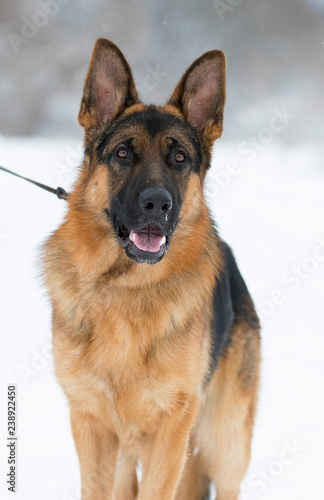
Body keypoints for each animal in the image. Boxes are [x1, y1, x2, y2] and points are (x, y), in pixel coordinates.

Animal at [43, 37, 260, 498]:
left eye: (179, 158)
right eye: (124, 153)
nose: (157, 204)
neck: (127, 289)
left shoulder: (170, 431)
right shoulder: (90, 425)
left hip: (226, 443)